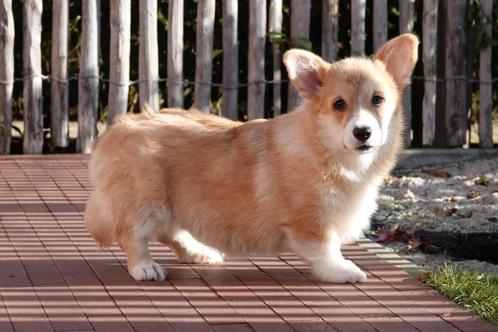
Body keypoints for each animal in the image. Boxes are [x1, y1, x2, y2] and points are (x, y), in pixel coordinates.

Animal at [83, 33, 418, 282]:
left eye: (377, 100)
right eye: (339, 104)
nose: (363, 132)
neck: (328, 151)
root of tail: (118, 127)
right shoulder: (310, 222)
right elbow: (327, 249)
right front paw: (344, 271)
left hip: (176, 202)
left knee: (172, 233)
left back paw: (200, 253)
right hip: (146, 202)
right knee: (133, 235)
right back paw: (145, 267)